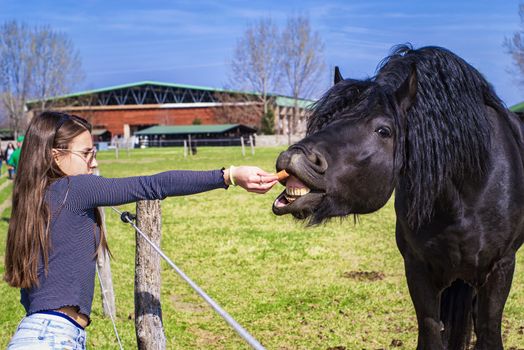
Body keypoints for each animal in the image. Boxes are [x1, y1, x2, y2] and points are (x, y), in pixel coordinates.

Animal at [272, 45, 524, 348]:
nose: (293, 159)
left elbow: (488, 330)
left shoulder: (500, 269)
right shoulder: (418, 270)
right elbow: (431, 330)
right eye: (325, 119)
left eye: (384, 130)